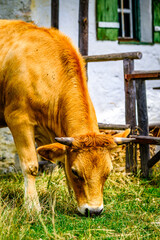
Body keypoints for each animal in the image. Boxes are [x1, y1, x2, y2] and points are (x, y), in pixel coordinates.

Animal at [0, 20, 129, 216]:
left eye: (108, 172)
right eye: (76, 172)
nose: (94, 211)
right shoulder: (18, 119)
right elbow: (31, 166)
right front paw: (32, 207)